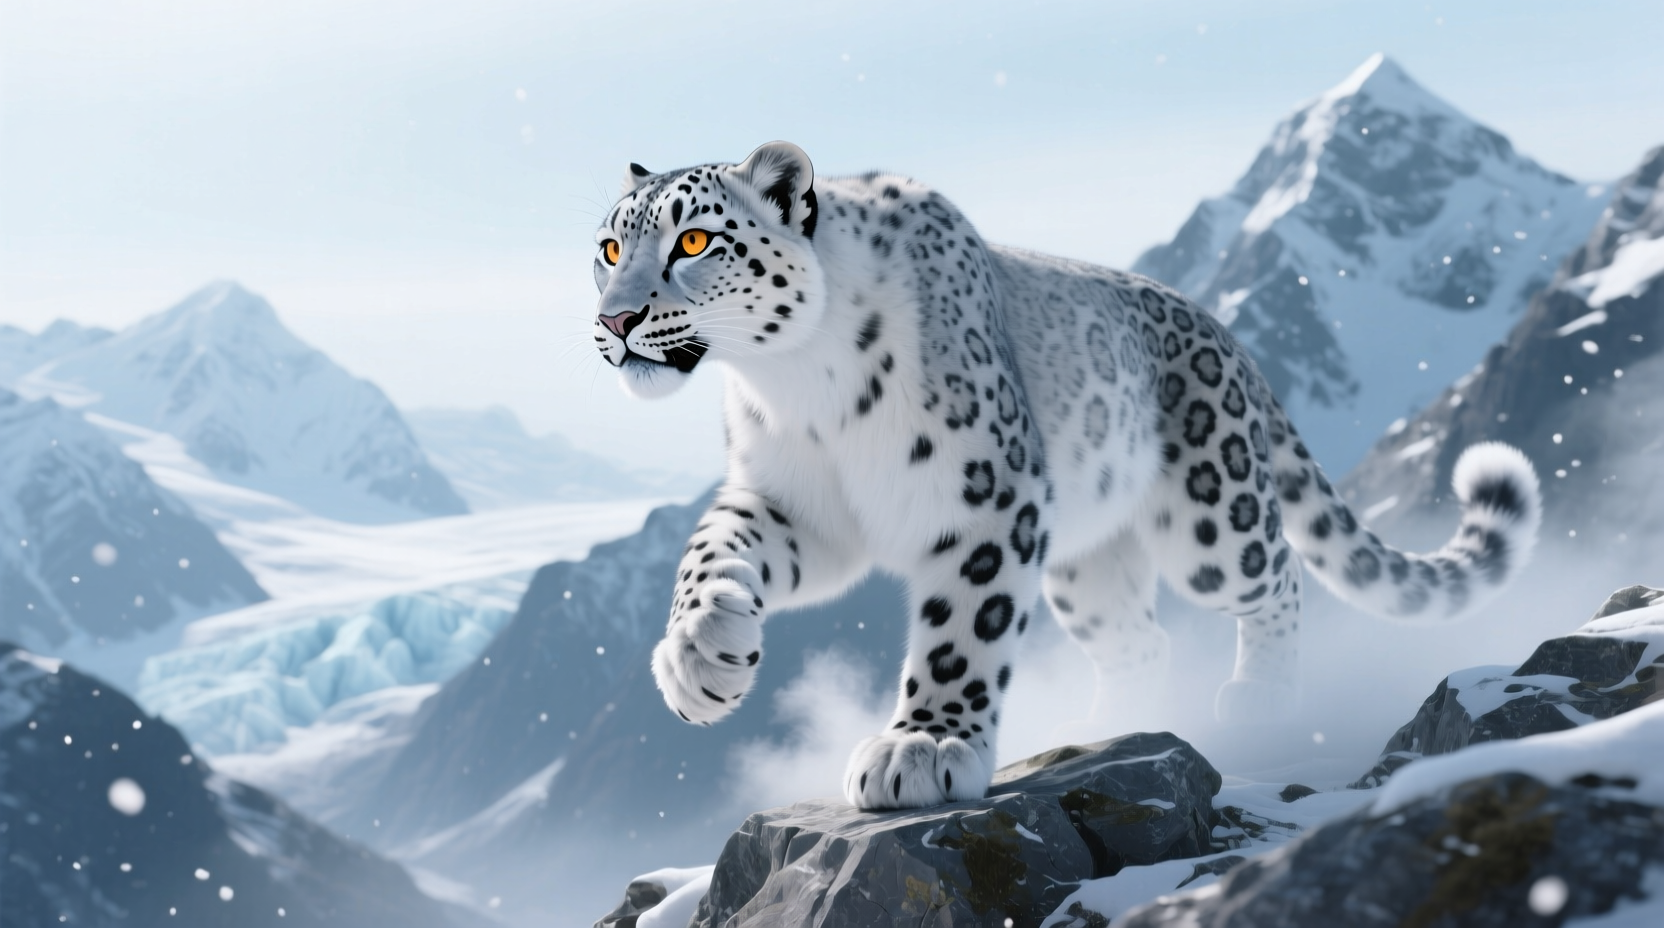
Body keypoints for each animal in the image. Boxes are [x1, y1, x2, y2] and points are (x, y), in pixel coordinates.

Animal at [588, 142, 1542, 811]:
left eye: (694, 240)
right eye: (607, 247)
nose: (615, 320)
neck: (797, 382)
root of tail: (1225, 332)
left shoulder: (986, 497)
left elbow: (962, 629)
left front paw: (925, 748)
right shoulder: (799, 506)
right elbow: (713, 547)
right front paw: (701, 659)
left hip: (1211, 518)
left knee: (1276, 573)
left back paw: (1258, 698)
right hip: (1087, 567)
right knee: (1141, 639)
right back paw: (1107, 728)